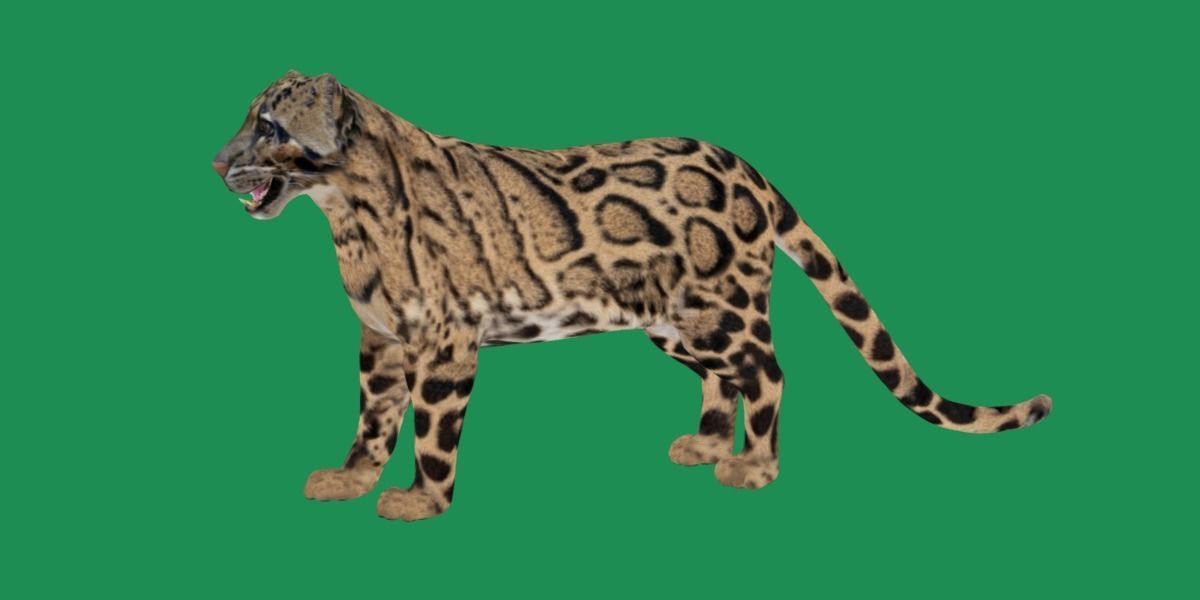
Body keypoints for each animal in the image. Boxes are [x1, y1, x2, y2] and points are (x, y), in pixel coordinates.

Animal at [213, 71, 1052, 521]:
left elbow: (430, 432)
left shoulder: (444, 340)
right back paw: (707, 445)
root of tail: (746, 167)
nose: (217, 162)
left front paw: (420, 499)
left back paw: (752, 466)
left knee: (769, 372)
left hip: (721, 309)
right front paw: (350, 479)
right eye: (249, 120)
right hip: (676, 323)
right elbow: (372, 419)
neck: (346, 219)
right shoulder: (381, 340)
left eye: (269, 126)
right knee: (726, 379)